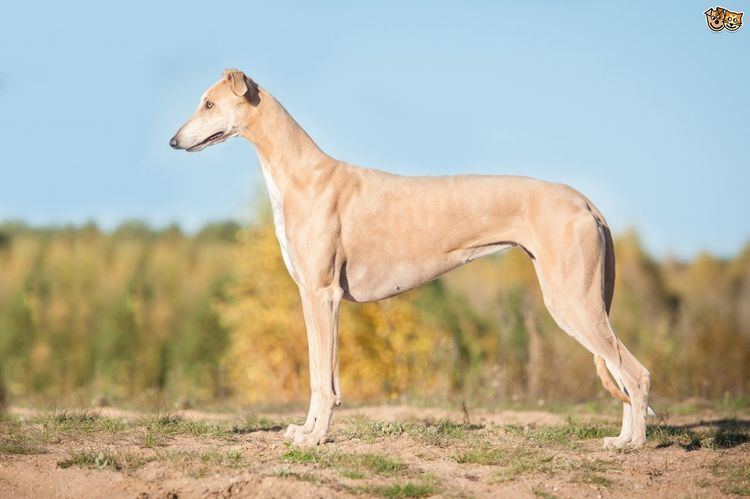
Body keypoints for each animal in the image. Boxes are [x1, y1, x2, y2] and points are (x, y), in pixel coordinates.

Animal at [170, 69, 652, 450]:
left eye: (209, 103)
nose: (174, 141)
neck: (302, 175)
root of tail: (585, 201)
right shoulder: (315, 297)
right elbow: (319, 375)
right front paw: (306, 431)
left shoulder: (323, 295)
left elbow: (322, 381)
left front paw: (315, 438)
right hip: (581, 302)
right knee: (621, 371)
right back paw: (620, 440)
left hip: (571, 301)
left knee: (636, 373)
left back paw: (634, 446)